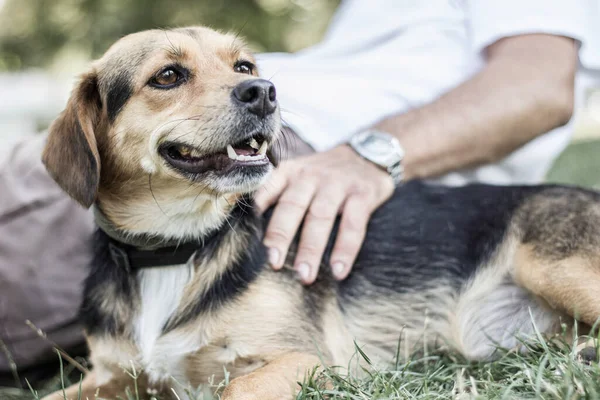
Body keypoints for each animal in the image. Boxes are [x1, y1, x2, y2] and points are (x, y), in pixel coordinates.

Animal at [41, 26, 600, 398]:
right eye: (168, 76)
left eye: (243, 67)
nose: (263, 92)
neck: (174, 251)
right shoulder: (111, 377)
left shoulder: (307, 360)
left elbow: (233, 389)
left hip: (553, 266)